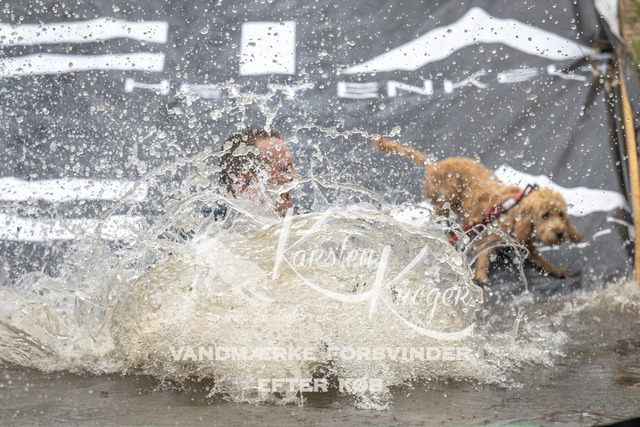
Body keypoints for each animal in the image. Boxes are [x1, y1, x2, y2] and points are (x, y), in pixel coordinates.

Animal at [373, 135, 582, 286]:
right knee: (441, 219)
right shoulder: (491, 233)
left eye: (561, 215)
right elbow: (483, 254)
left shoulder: (523, 243)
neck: (514, 210)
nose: (560, 232)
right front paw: (481, 274)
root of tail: (435, 166)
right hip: (444, 200)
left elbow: (541, 261)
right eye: (544, 216)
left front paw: (556, 270)